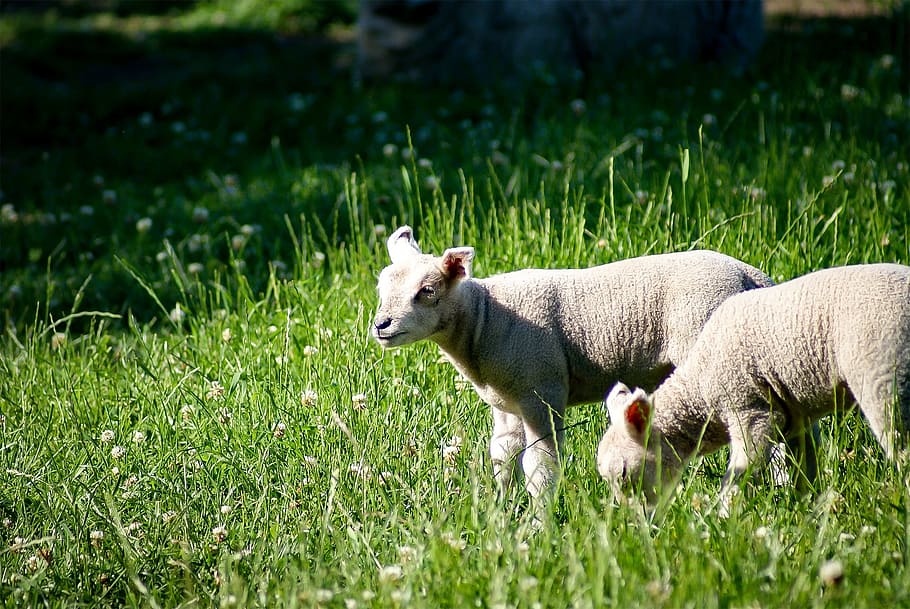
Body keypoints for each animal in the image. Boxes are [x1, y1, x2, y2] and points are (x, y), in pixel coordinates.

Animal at [372, 225, 776, 498]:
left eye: (427, 292)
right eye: (380, 289)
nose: (381, 325)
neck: (485, 319)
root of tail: (752, 276)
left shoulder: (542, 391)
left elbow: (539, 466)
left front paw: (540, 523)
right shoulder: (506, 402)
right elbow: (502, 456)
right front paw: (500, 510)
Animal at [597, 263, 910, 504]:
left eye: (624, 475)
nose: (637, 528)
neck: (701, 391)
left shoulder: (750, 410)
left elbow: (742, 472)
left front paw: (724, 521)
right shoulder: (795, 416)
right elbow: (804, 466)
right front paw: (807, 509)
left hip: (884, 374)